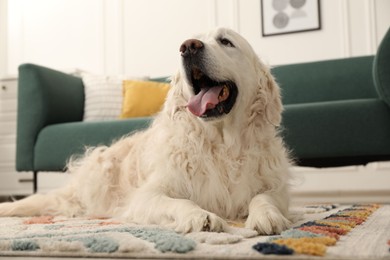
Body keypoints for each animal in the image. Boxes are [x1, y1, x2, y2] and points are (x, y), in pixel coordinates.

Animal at [0, 27, 292, 235]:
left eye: (226, 41)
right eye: (193, 41)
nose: (188, 47)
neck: (221, 143)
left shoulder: (275, 186)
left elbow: (264, 198)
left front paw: (267, 215)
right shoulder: (147, 196)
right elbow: (179, 202)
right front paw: (200, 216)